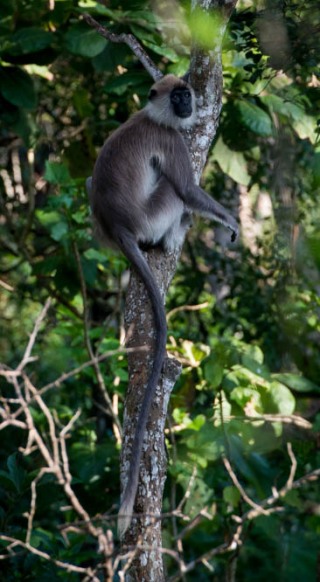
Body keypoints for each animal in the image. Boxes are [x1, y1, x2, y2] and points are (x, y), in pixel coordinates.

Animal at [86, 73, 239, 540]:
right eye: (178, 97)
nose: (188, 104)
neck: (151, 115)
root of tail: (119, 229)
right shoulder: (170, 140)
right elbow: (188, 189)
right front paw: (231, 223)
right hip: (154, 214)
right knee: (176, 193)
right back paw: (171, 238)